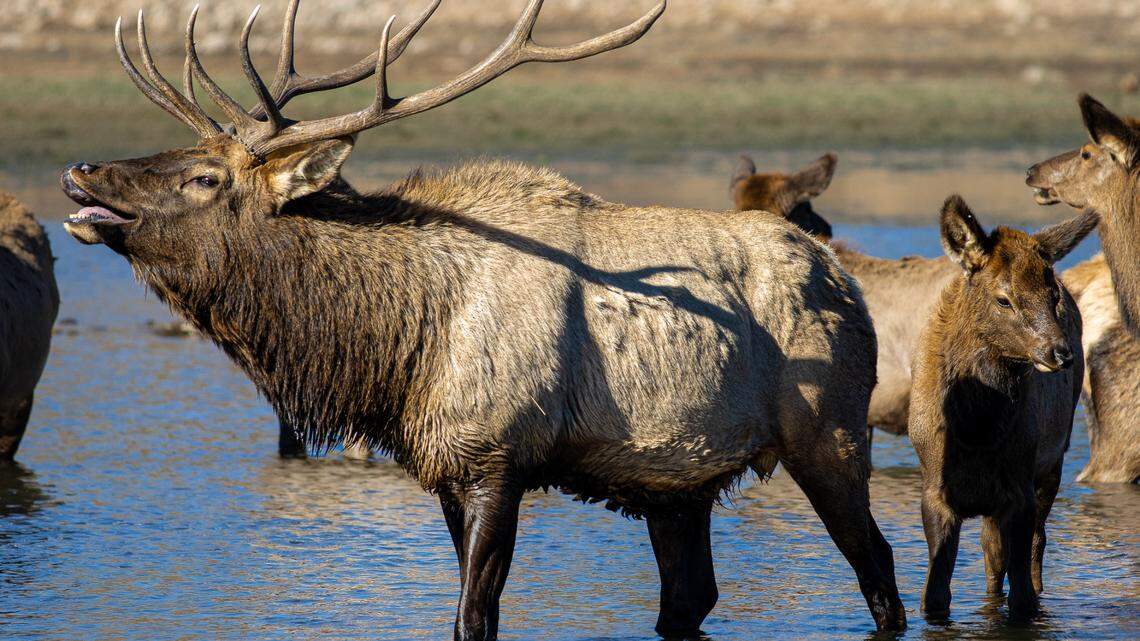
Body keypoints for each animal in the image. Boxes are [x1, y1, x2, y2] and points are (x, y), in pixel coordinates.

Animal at [57, 2, 906, 639]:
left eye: (205, 176)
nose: (81, 169)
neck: (397, 347)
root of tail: (842, 277)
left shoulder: (502, 451)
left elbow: (473, 615)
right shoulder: (443, 461)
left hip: (830, 430)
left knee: (880, 567)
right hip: (677, 477)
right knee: (689, 596)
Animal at [909, 196, 1094, 621]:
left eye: (1052, 296)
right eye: (1003, 298)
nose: (1061, 353)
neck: (977, 431)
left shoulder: (1021, 487)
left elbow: (1022, 598)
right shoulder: (934, 491)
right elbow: (934, 598)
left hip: (1053, 462)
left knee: (1034, 545)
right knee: (992, 551)